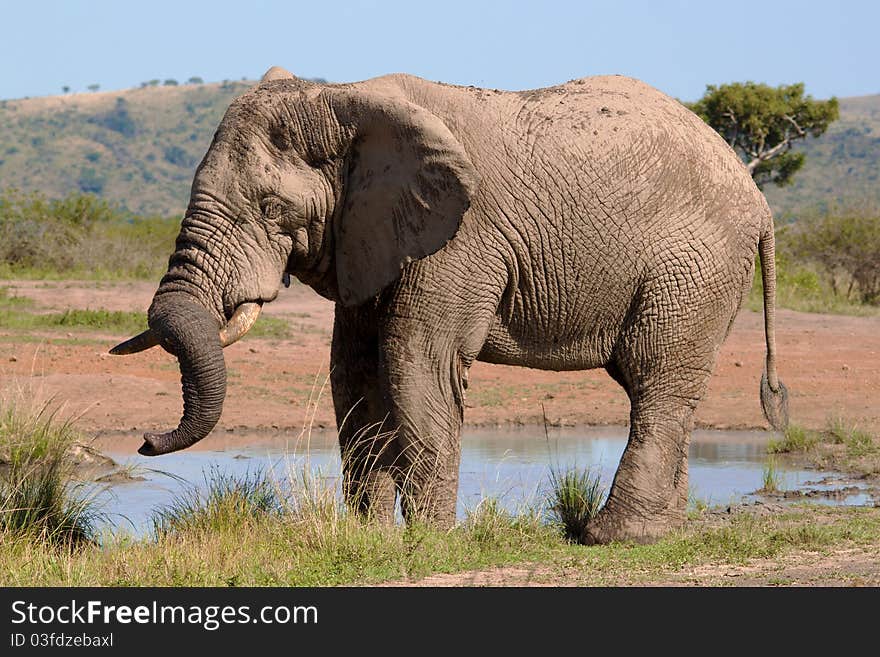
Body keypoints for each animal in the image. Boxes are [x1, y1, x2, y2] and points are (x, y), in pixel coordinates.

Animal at [111, 65, 792, 544]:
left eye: (272, 208)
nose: (144, 439)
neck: (343, 96)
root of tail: (759, 201)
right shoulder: (369, 233)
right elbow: (354, 373)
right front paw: (371, 538)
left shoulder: (463, 237)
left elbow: (415, 363)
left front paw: (431, 542)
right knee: (654, 385)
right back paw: (657, 531)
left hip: (694, 266)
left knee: (656, 379)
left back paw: (613, 537)